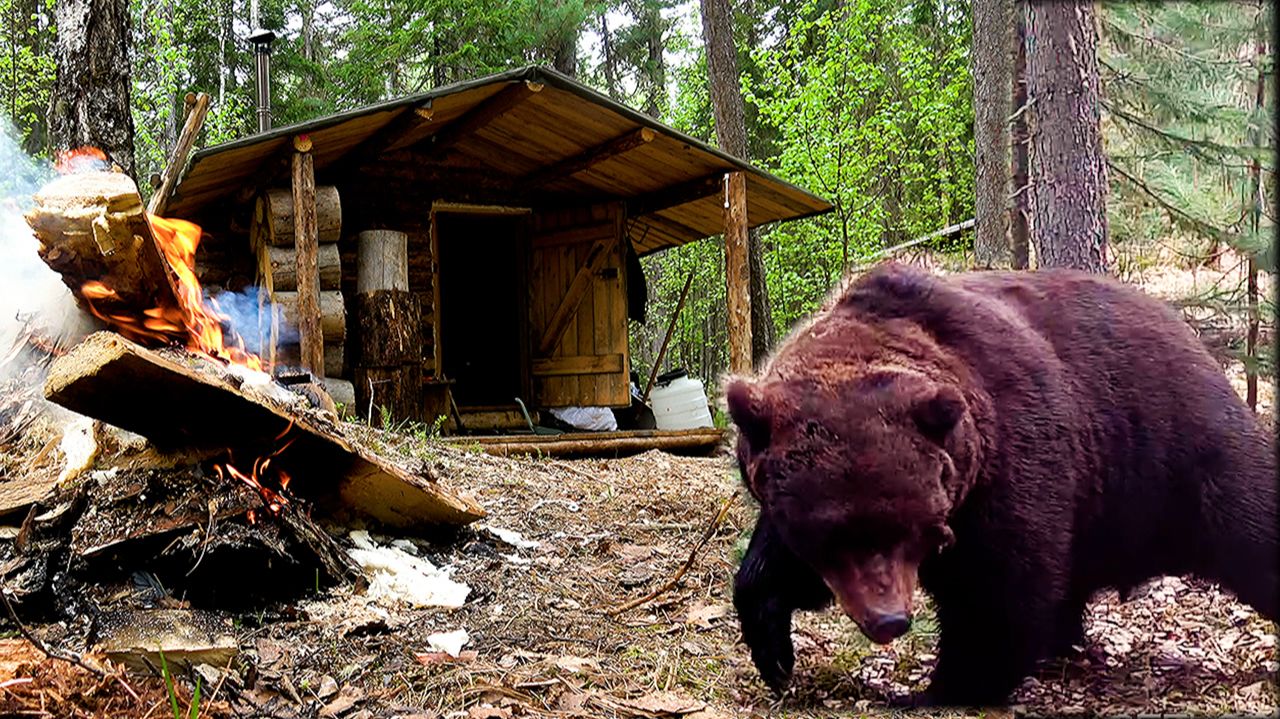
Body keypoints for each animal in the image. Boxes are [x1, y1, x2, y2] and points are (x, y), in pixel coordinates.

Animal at [725, 261, 1277, 707]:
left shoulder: (1012, 460)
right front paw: (774, 651)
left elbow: (1000, 590)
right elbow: (771, 568)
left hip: (1178, 450)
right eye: (831, 536)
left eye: (912, 528)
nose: (889, 621)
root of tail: (1189, 333)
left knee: (1251, 524)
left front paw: (939, 689)